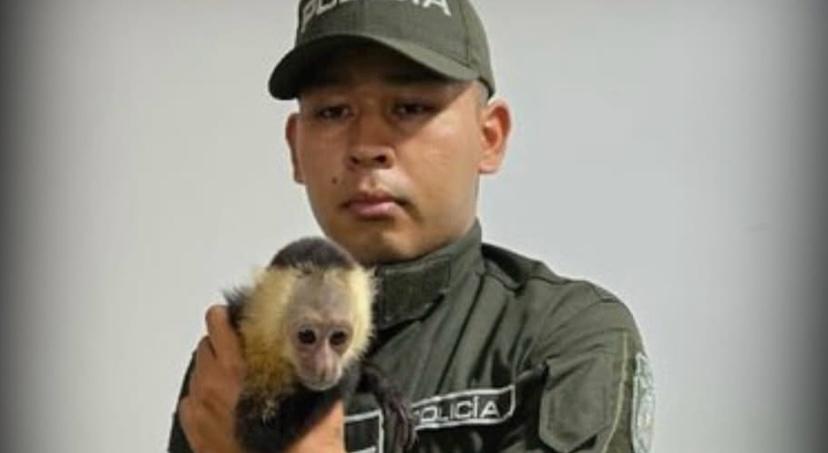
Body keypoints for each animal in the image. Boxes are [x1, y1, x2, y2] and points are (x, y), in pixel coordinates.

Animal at [224, 237, 415, 453]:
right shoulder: (256, 350)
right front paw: (353, 372)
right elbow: (258, 435)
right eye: (307, 336)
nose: (325, 366)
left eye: (338, 337)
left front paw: (384, 386)